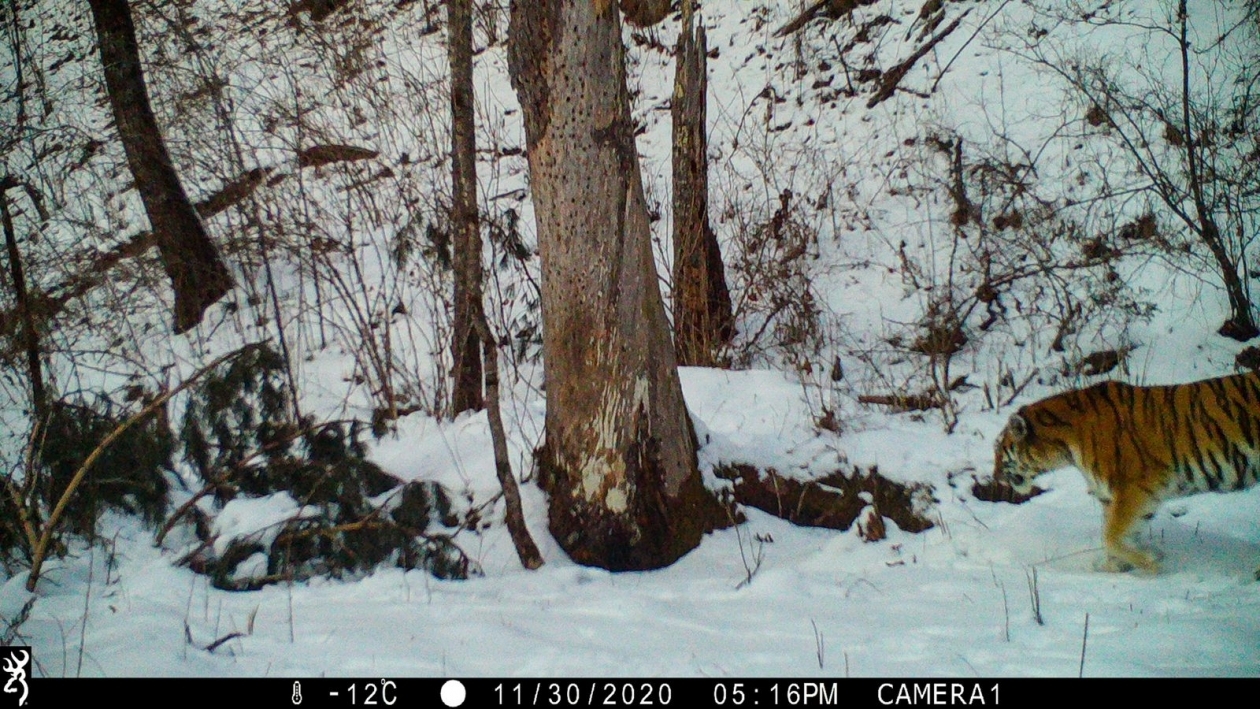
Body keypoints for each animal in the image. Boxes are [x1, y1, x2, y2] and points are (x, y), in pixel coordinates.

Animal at [992, 372, 1260, 576]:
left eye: (998, 450)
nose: (995, 477)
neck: (1066, 447)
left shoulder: (1136, 488)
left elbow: (1112, 535)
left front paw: (1150, 563)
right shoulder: (1112, 496)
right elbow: (1114, 535)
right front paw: (1114, 568)